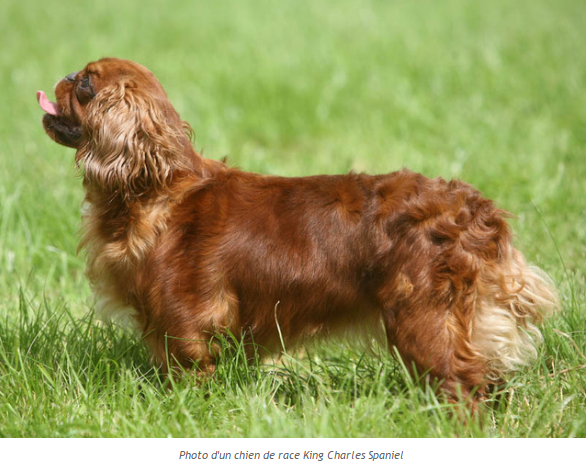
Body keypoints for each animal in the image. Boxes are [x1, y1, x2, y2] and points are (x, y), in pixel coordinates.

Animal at [39, 57, 560, 402]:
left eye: (85, 85)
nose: (63, 76)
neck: (156, 187)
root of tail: (473, 210)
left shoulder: (184, 324)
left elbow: (189, 373)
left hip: (425, 321)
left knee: (463, 384)